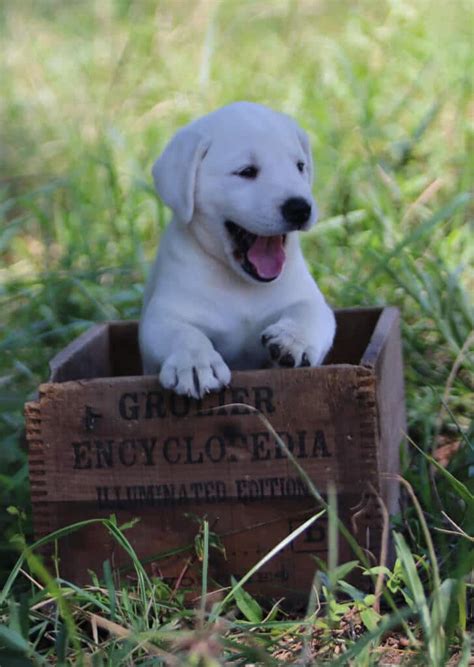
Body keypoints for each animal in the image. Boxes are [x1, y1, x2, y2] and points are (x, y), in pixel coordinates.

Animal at [139, 102, 336, 400]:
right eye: (246, 172)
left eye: (300, 166)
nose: (300, 208)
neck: (241, 285)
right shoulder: (162, 316)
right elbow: (184, 334)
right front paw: (195, 363)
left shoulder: (308, 299)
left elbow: (309, 310)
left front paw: (294, 339)